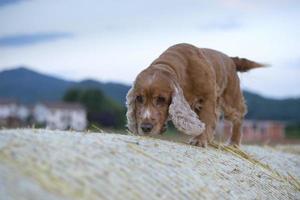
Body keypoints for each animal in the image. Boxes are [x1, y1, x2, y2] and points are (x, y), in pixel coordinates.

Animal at [125, 43, 264, 147]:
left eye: (161, 99)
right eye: (139, 98)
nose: (145, 128)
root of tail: (230, 59)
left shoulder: (208, 97)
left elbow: (207, 119)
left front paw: (199, 140)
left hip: (230, 99)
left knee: (238, 116)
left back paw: (233, 143)